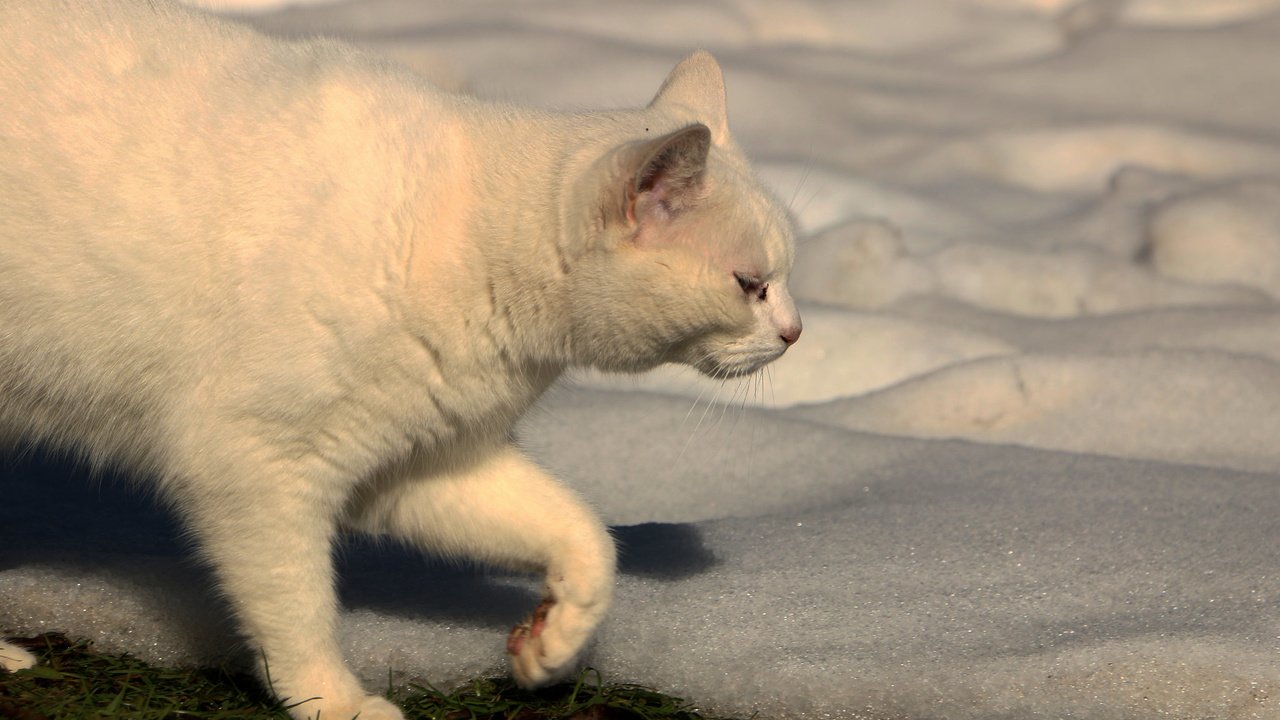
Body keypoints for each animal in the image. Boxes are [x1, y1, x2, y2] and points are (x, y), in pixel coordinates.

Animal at [0, 1, 798, 717]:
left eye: (785, 276)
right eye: (750, 285)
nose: (795, 332)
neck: (464, 241)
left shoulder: (418, 461)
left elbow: (584, 534)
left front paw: (554, 639)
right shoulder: (252, 464)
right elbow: (295, 605)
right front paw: (335, 702)